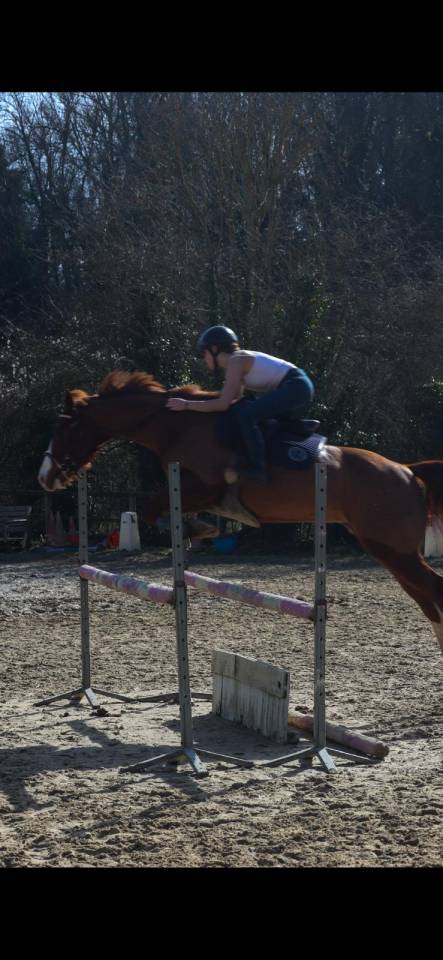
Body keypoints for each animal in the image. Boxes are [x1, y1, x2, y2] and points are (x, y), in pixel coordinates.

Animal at [38, 370, 443, 654]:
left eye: (64, 428)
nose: (45, 477)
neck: (174, 425)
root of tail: (408, 471)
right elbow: (159, 511)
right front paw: (197, 532)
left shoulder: (207, 488)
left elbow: (155, 509)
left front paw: (198, 531)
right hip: (389, 552)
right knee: (429, 601)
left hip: (394, 550)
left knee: (434, 590)